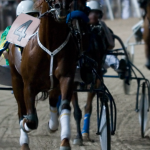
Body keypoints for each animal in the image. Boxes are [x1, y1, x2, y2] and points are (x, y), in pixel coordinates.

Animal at [8, 0, 88, 149]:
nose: (61, 7)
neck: (50, 45)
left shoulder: (66, 77)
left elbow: (64, 107)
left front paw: (64, 142)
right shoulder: (28, 85)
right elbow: (31, 120)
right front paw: (25, 123)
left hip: (53, 85)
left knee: (53, 102)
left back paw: (52, 125)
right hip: (16, 79)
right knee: (21, 110)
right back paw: (24, 141)